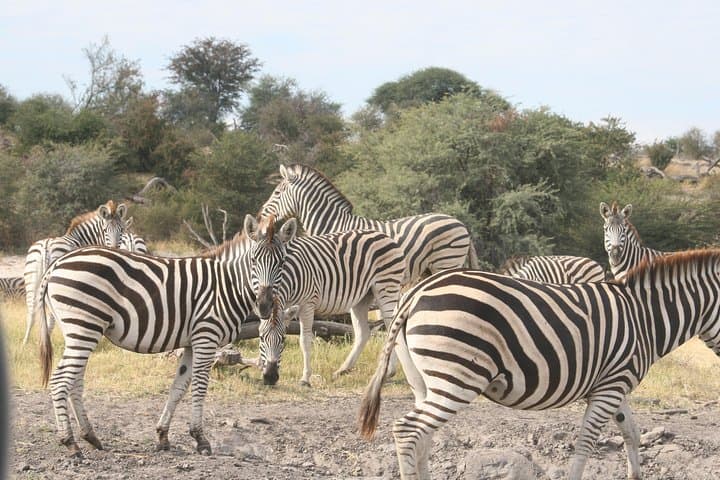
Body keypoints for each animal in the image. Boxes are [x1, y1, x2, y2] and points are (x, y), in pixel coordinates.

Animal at [23, 200, 131, 344]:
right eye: (105, 230)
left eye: (122, 230)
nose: (114, 249)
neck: (81, 239)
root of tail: (47, 245)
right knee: (51, 316)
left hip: (32, 279)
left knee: (31, 312)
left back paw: (25, 343)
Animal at [35, 234, 295, 457]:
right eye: (262, 337)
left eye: (283, 339)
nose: (264, 306)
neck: (227, 286)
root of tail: (56, 264)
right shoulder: (206, 337)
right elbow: (199, 387)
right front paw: (201, 440)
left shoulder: (191, 343)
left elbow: (178, 388)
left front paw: (163, 436)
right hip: (84, 326)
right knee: (60, 380)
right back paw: (70, 443)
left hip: (79, 330)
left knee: (75, 381)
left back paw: (91, 436)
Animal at [244, 214, 407, 386]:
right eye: (261, 338)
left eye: (283, 339)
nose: (270, 378)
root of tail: (385, 236)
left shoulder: (307, 303)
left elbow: (305, 340)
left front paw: (305, 378)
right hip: (362, 298)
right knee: (363, 332)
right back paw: (343, 369)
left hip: (387, 287)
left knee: (392, 327)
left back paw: (388, 372)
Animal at [359, 250, 720, 479]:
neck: (644, 318)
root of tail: (417, 292)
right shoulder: (611, 387)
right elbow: (586, 441)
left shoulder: (614, 385)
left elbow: (631, 433)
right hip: (458, 378)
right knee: (408, 430)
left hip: (425, 381)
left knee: (423, 435)